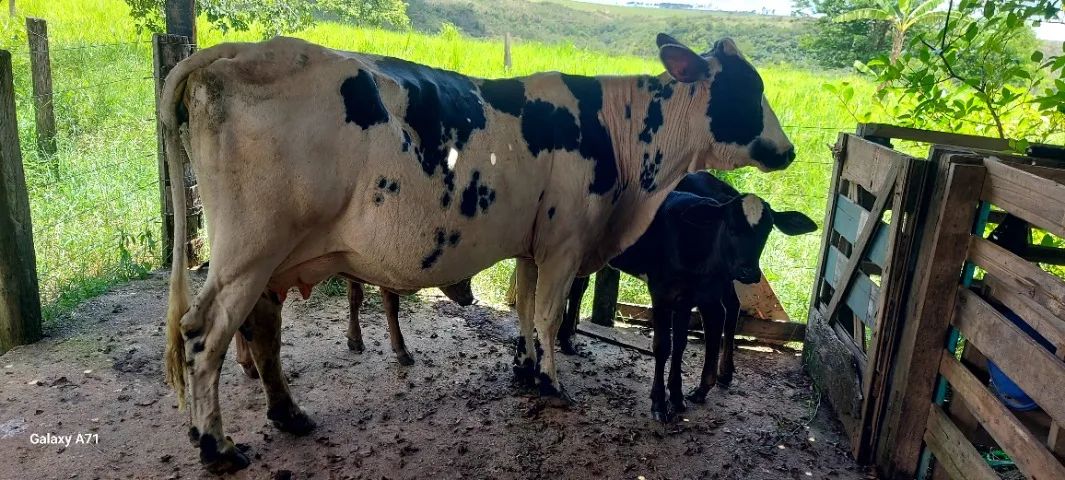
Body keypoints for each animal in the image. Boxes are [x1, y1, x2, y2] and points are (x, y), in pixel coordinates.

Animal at [560, 171, 817, 421]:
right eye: (730, 226)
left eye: (768, 230)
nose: (748, 271)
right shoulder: (663, 292)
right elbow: (663, 345)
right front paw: (660, 402)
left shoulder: (688, 296)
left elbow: (680, 345)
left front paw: (675, 396)